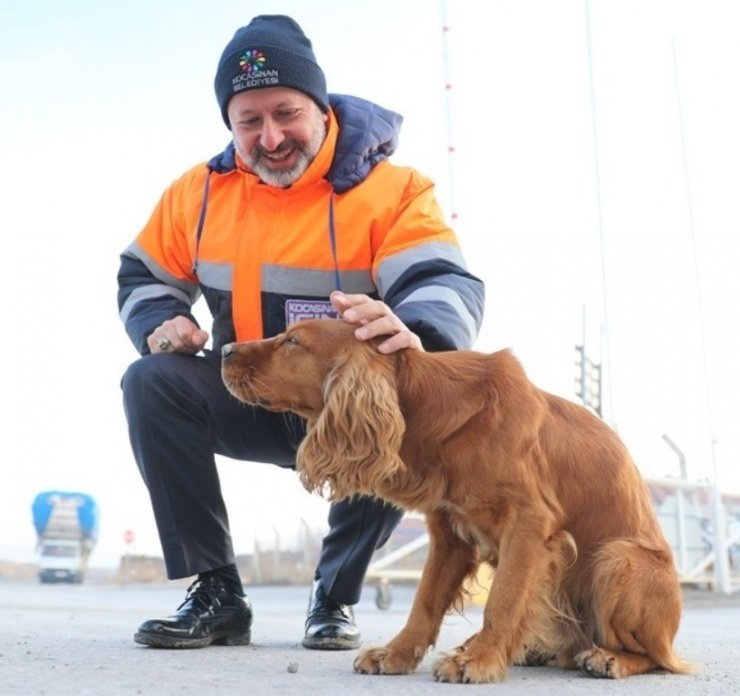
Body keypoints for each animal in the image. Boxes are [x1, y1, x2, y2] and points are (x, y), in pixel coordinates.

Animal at [218, 324, 688, 684]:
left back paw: (608, 658)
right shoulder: (449, 533)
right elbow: (424, 602)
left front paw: (477, 661)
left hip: (619, 558)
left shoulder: (530, 525)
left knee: (656, 659)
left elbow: (502, 601)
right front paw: (397, 654)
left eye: (292, 340)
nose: (223, 349)